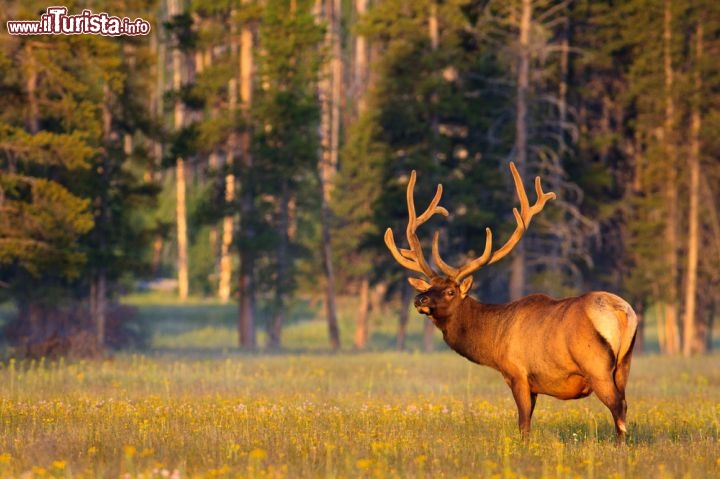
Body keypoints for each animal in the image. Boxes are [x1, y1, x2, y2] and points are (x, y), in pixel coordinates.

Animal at [386, 163, 640, 444]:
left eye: (451, 291)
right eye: (428, 287)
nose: (419, 298)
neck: (494, 341)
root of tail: (622, 311)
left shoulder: (517, 373)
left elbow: (524, 423)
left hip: (596, 366)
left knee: (618, 406)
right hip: (624, 364)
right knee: (624, 402)